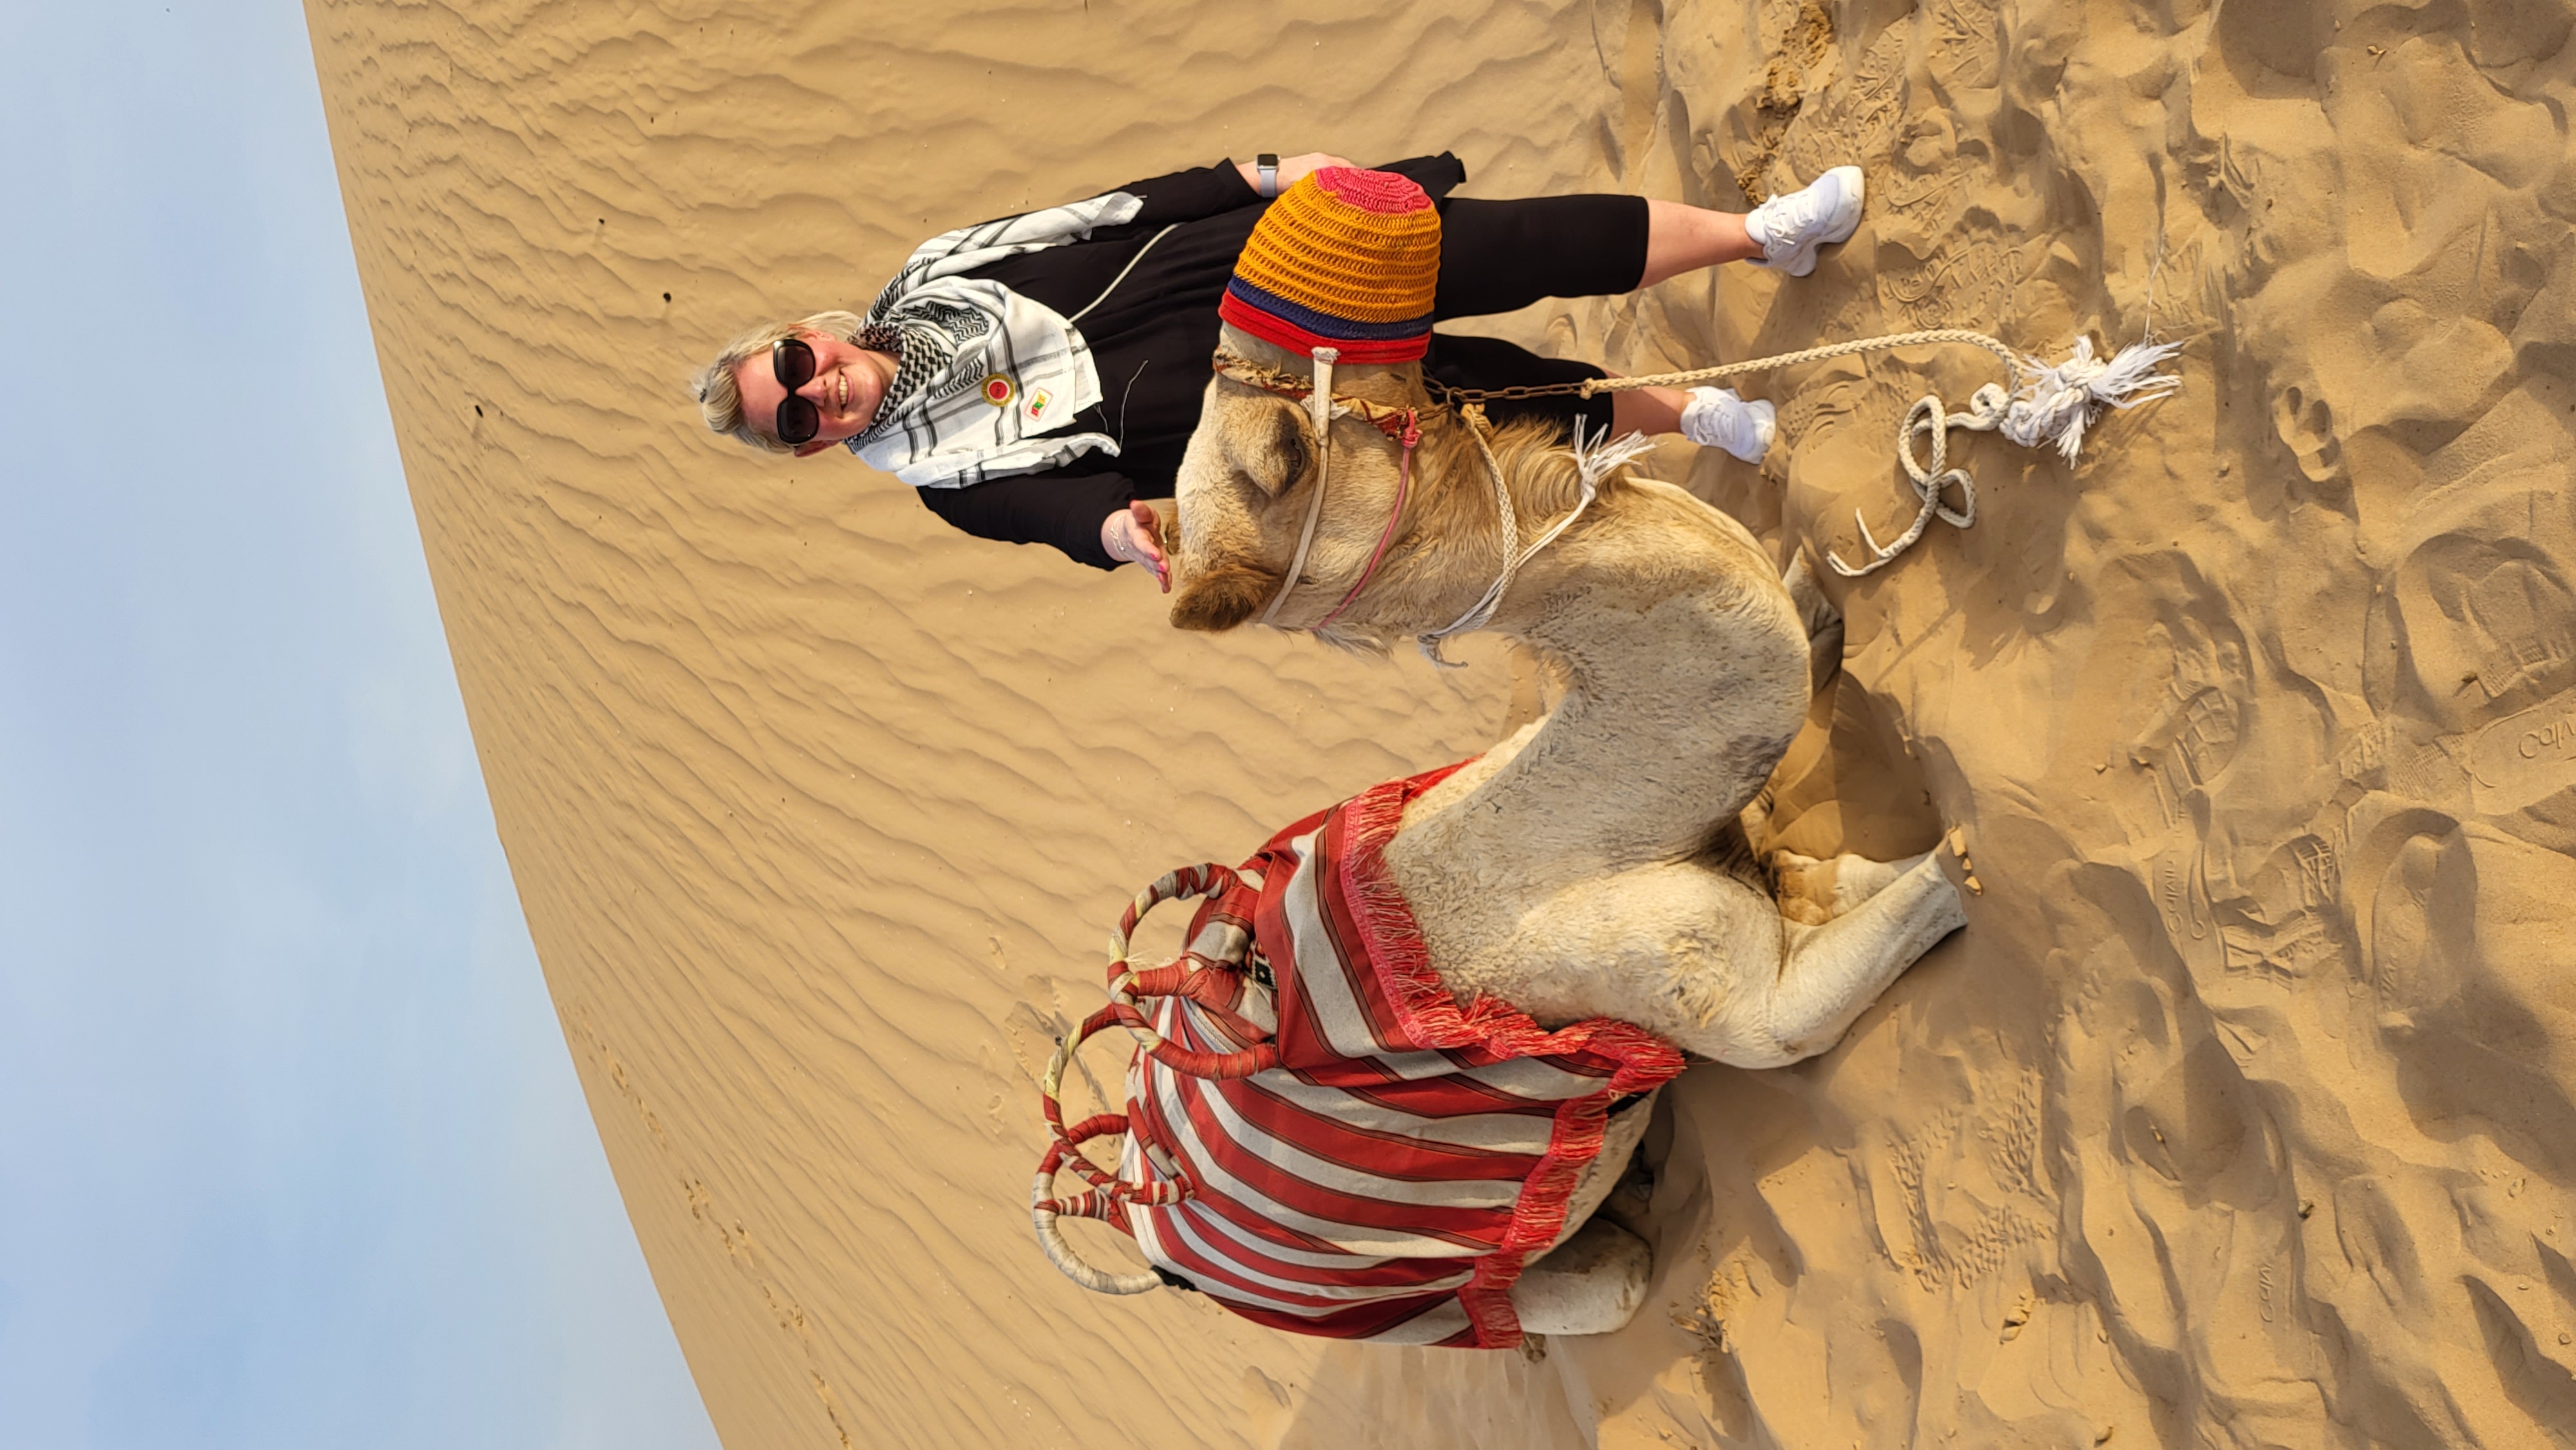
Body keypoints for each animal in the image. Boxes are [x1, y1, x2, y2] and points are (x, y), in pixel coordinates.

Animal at [1161, 327, 1972, 1334]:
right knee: (1613, 1279)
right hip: (1442, 1304)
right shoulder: (1726, 997)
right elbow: (1917, 901)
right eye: (1284, 452)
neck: (1597, 818)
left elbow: (1823, 852)